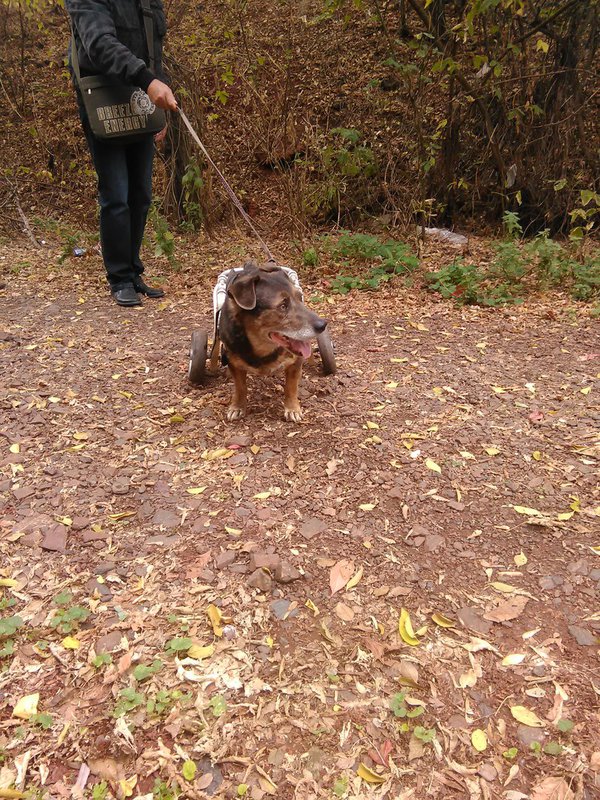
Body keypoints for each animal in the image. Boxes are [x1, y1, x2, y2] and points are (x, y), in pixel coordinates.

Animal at [211, 264, 328, 424]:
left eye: (299, 298)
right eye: (283, 305)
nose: (323, 325)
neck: (261, 348)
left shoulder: (296, 362)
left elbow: (291, 387)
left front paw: (292, 409)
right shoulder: (234, 363)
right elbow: (240, 387)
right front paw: (238, 407)